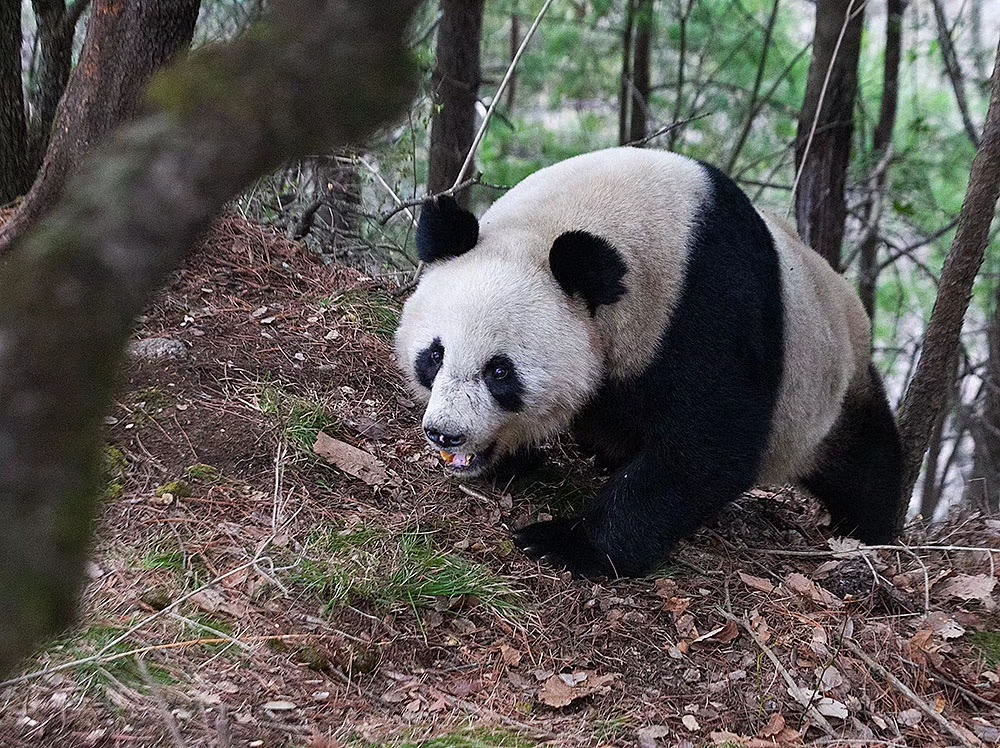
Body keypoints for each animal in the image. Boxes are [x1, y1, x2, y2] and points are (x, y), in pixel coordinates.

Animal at [392, 148, 908, 580]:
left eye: (499, 371)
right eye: (434, 356)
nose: (445, 433)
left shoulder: (708, 305)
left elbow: (707, 447)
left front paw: (566, 543)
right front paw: (519, 463)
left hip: (828, 387)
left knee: (863, 460)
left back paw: (870, 529)